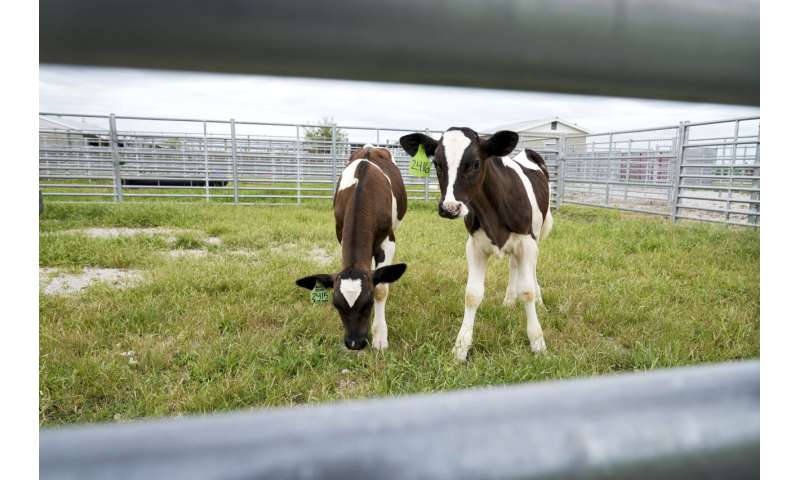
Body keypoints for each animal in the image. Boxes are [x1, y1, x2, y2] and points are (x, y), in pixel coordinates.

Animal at [294, 144, 406, 350]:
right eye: (336, 305)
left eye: (368, 304)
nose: (354, 343)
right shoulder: (340, 233)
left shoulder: (388, 240)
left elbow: (381, 288)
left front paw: (380, 336)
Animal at [398, 127, 552, 360]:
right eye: (437, 164)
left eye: (476, 163)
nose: (450, 208)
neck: (493, 212)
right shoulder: (474, 246)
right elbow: (472, 295)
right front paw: (461, 348)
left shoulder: (526, 242)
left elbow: (527, 292)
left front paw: (538, 343)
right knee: (513, 265)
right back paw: (508, 301)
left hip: (536, 234)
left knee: (531, 270)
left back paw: (539, 301)